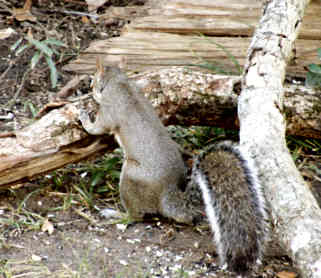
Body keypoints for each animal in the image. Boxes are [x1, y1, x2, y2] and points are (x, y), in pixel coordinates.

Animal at [79, 59, 268, 274]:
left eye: (93, 81)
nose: (87, 86)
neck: (119, 81)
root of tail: (167, 194)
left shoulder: (109, 109)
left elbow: (97, 127)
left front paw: (84, 116)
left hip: (130, 176)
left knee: (136, 216)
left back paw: (116, 215)